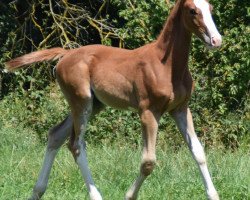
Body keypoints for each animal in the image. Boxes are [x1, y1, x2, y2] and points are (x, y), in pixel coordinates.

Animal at [4, 0, 222, 200]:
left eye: (211, 9)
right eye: (193, 10)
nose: (216, 40)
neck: (166, 65)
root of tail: (66, 54)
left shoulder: (180, 109)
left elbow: (198, 153)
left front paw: (213, 195)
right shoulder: (148, 112)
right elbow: (148, 161)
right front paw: (129, 195)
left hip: (93, 105)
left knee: (56, 135)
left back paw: (37, 191)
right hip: (81, 102)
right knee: (76, 145)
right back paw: (94, 195)